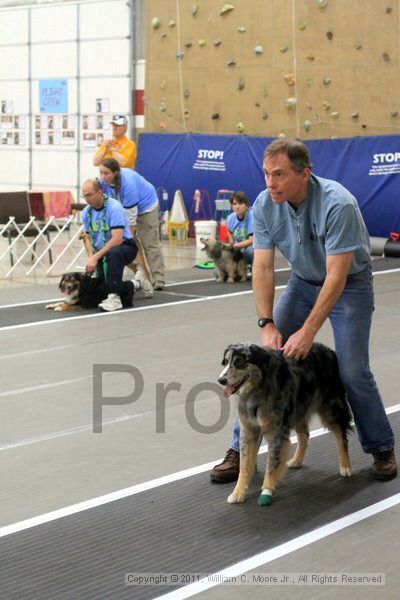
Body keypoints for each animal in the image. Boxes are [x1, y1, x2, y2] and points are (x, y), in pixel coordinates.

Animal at [217, 342, 352, 506]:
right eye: (225, 361)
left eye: (239, 361)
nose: (221, 380)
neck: (258, 387)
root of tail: (328, 350)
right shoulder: (248, 431)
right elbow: (244, 466)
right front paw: (237, 493)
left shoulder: (276, 432)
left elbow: (271, 465)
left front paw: (266, 492)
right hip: (299, 408)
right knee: (304, 436)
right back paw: (296, 460)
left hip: (330, 408)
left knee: (341, 436)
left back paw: (345, 466)